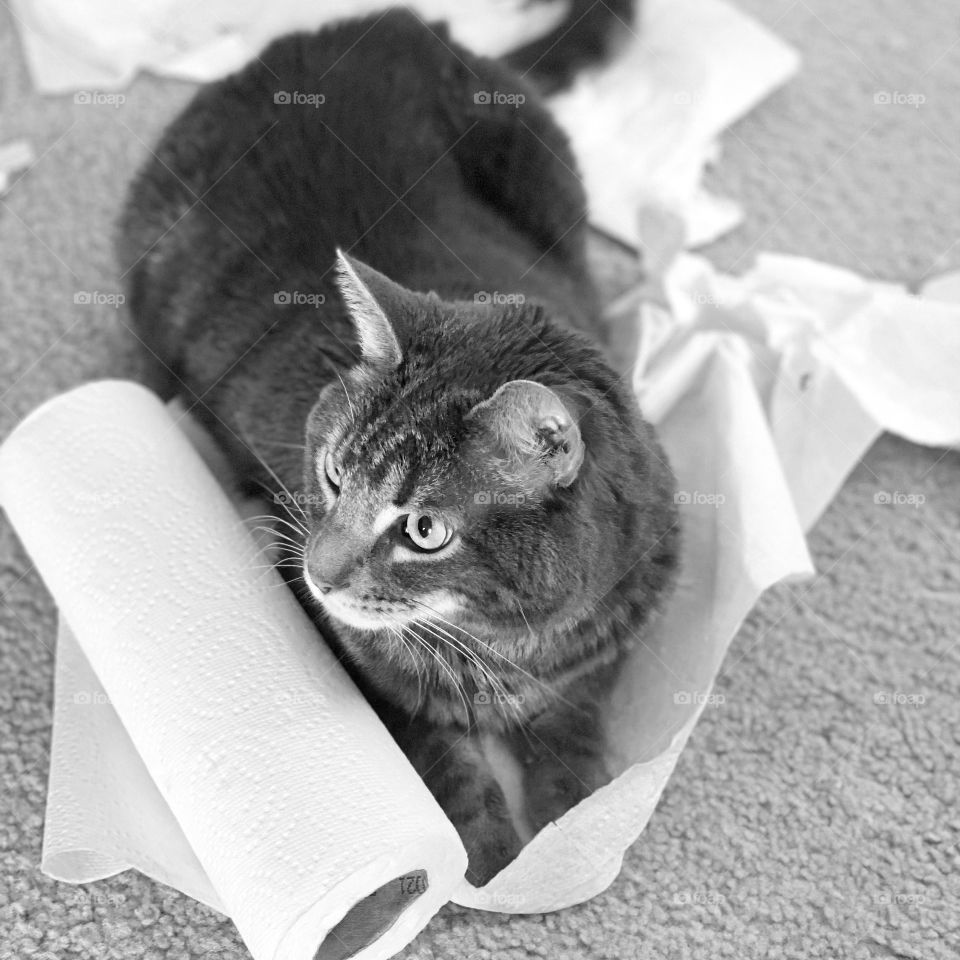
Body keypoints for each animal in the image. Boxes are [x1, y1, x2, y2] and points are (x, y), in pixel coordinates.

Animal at [116, 1, 680, 884]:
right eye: (332, 475)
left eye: (424, 529)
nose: (318, 571)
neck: (508, 640)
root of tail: (386, 24)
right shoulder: (359, 665)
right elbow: (441, 757)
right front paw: (489, 858)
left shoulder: (609, 643)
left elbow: (575, 727)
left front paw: (573, 827)